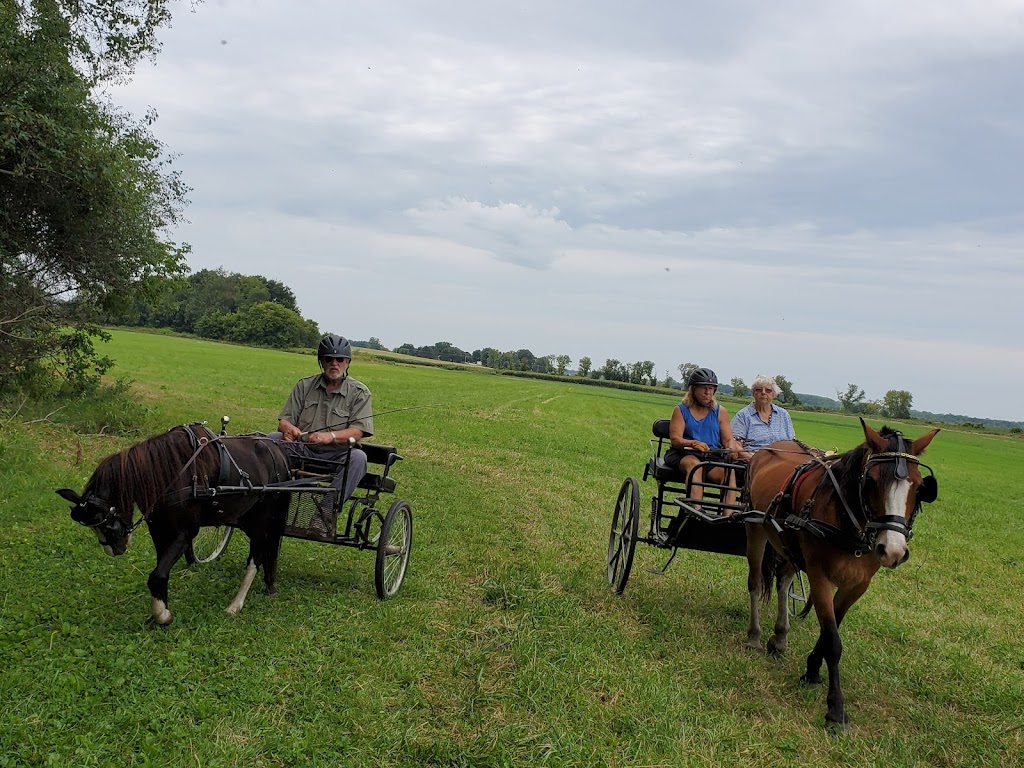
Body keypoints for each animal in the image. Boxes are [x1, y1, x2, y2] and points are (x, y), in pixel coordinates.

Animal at [57, 423, 292, 626]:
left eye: (107, 524)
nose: (114, 550)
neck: (175, 473)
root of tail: (277, 451)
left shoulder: (185, 534)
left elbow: (157, 575)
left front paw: (162, 616)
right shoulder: (159, 532)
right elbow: (161, 572)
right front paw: (159, 612)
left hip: (262, 520)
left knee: (257, 557)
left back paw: (236, 604)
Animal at [741, 421, 937, 729]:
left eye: (919, 486)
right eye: (871, 481)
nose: (893, 551)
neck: (850, 524)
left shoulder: (858, 585)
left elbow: (829, 629)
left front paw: (811, 671)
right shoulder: (819, 577)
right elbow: (833, 641)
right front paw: (835, 708)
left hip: (787, 542)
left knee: (784, 582)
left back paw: (780, 637)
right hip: (756, 530)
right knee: (755, 582)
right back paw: (755, 636)